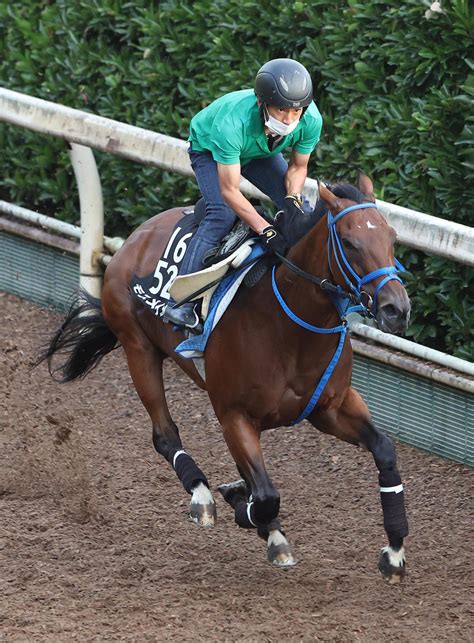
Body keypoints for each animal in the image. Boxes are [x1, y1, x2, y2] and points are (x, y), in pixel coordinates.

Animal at [39, 175, 412, 584]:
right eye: (349, 241)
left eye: (392, 237)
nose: (397, 309)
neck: (291, 325)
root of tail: (137, 235)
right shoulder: (234, 415)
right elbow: (265, 497)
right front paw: (246, 509)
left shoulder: (331, 407)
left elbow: (385, 451)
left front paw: (394, 552)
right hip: (138, 348)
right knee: (164, 434)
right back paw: (202, 497)